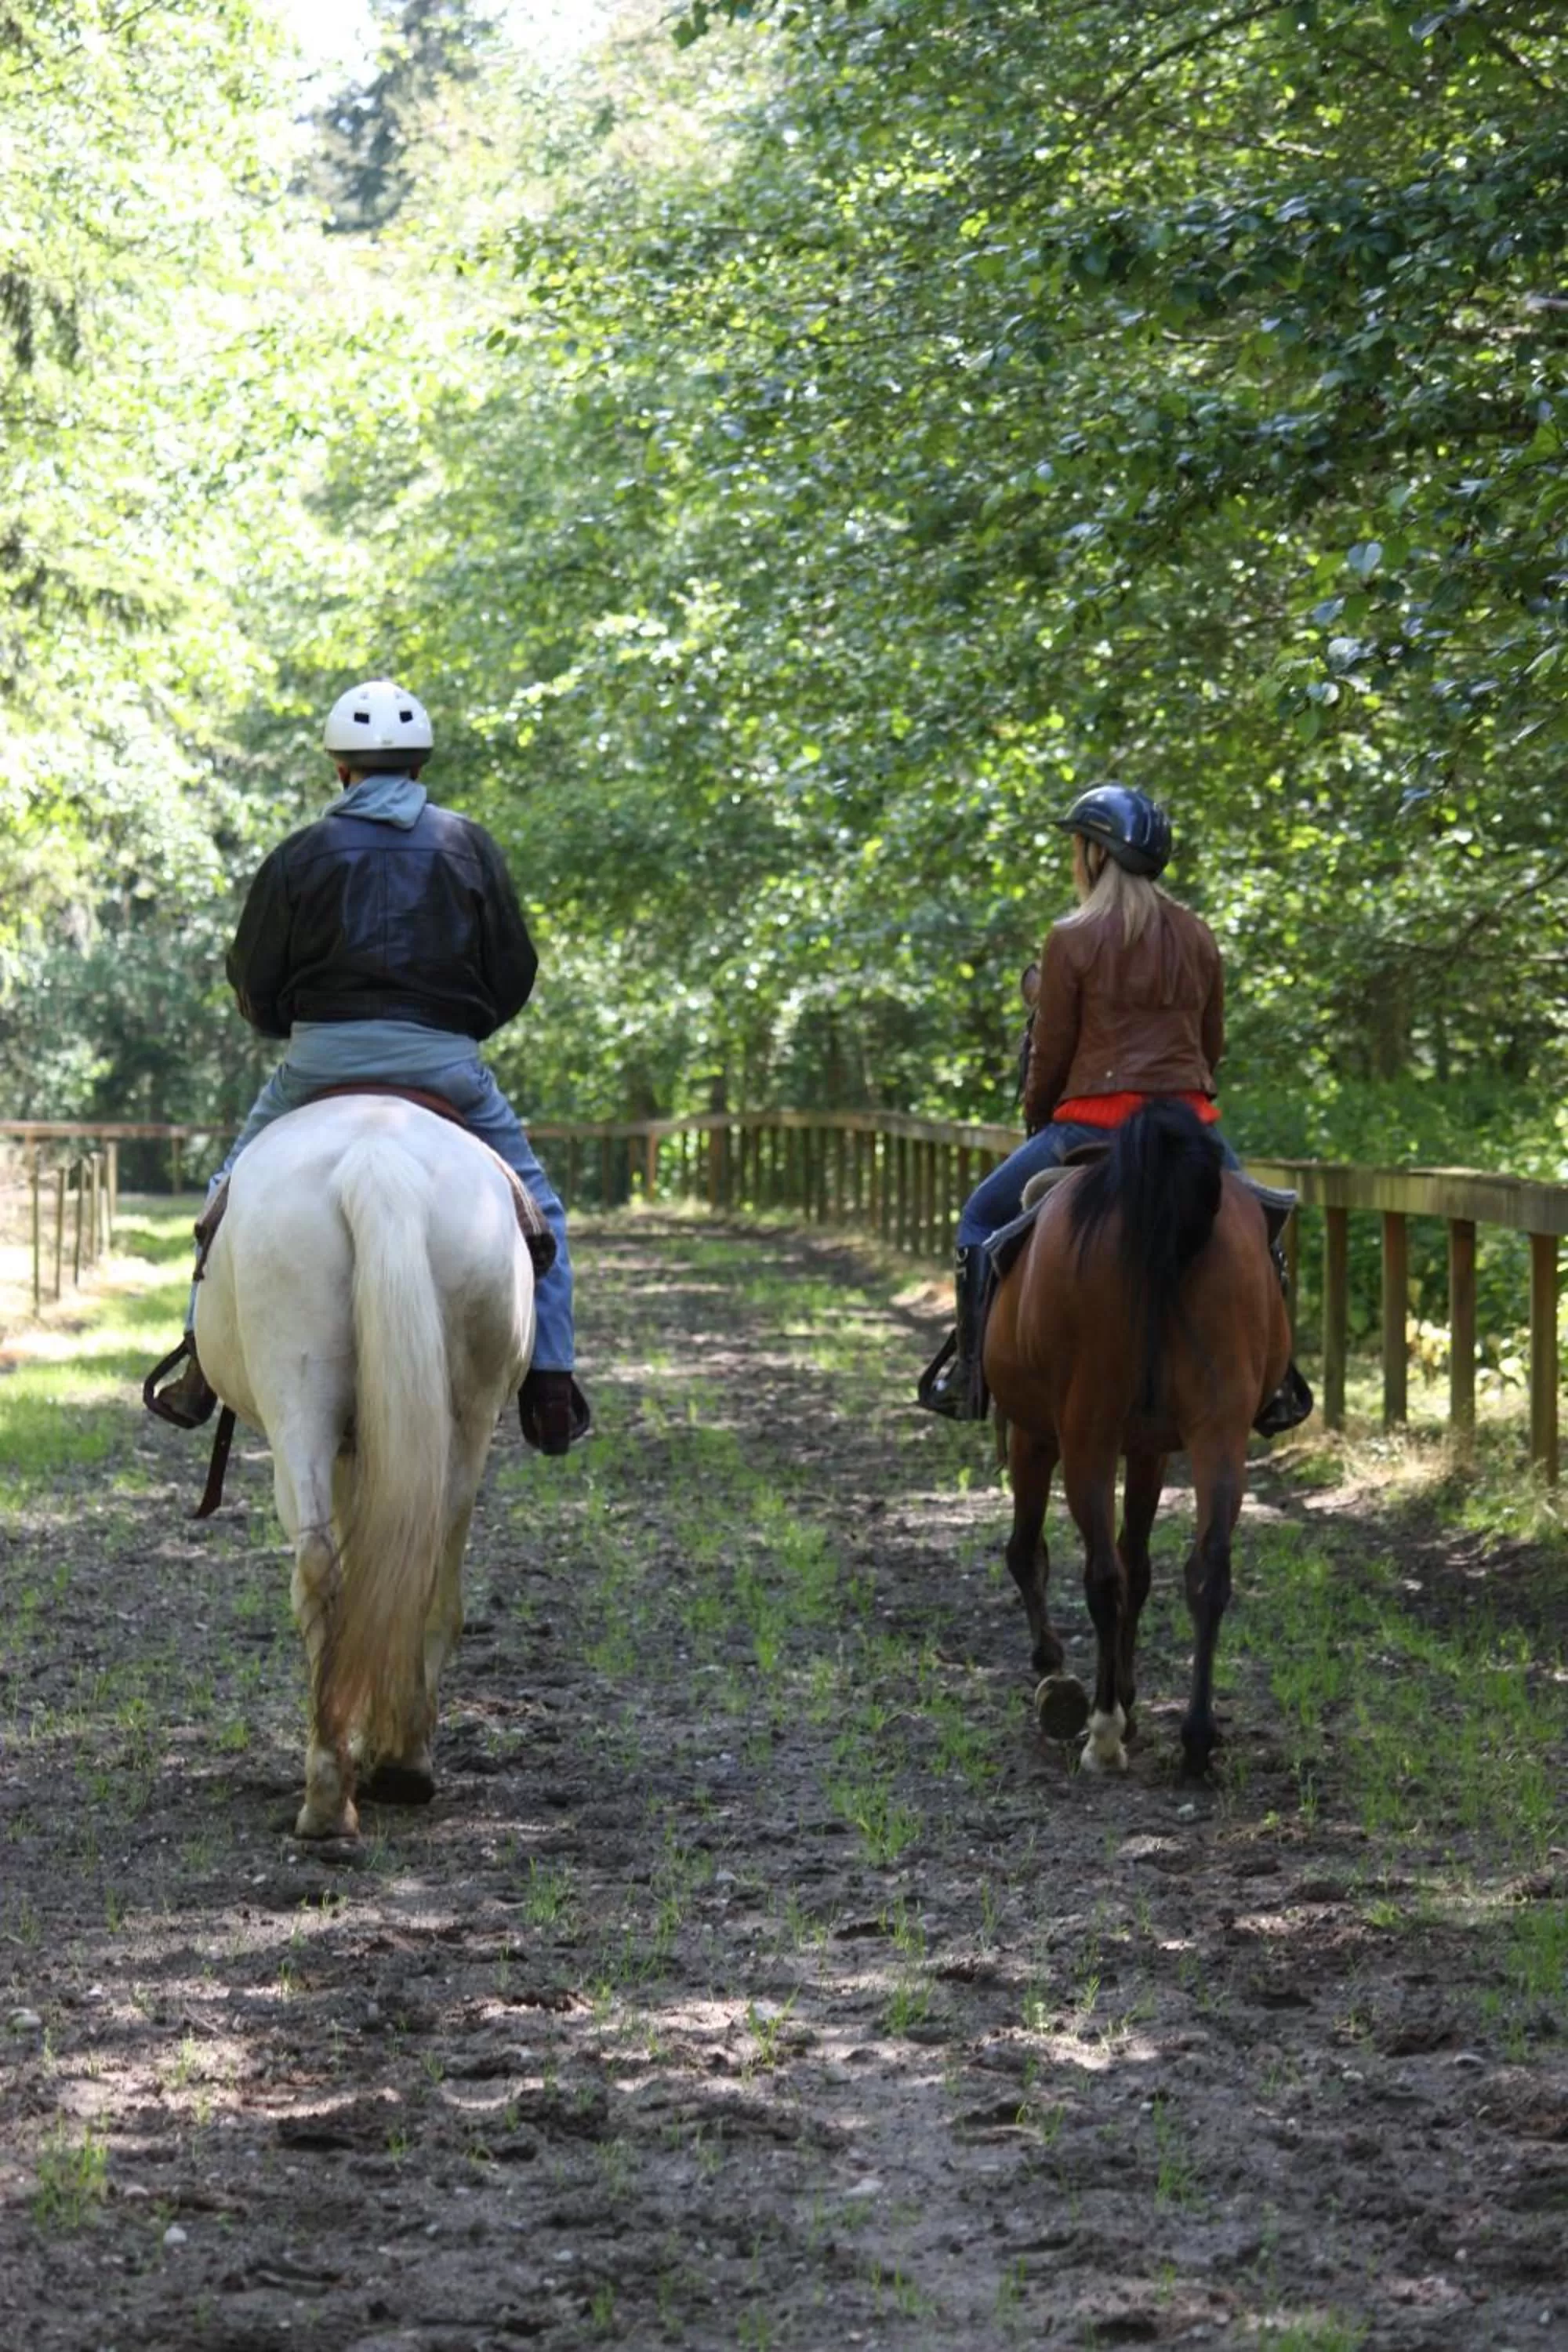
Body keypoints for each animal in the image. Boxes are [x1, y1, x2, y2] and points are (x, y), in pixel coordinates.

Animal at [193, 1094, 536, 1838]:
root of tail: (377, 1160)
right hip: (461, 1419)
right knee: (420, 1572)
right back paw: (387, 1768)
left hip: (300, 1406)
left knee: (323, 1565)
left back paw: (336, 1788)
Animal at [983, 1098, 1290, 1778]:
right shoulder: (1153, 1448)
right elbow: (1142, 1563)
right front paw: (1127, 1697)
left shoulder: (1035, 1435)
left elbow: (1029, 1552)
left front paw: (1058, 1677)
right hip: (1217, 1431)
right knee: (1207, 1570)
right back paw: (1196, 1740)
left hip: (1087, 1436)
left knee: (1101, 1576)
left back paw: (1101, 1734)